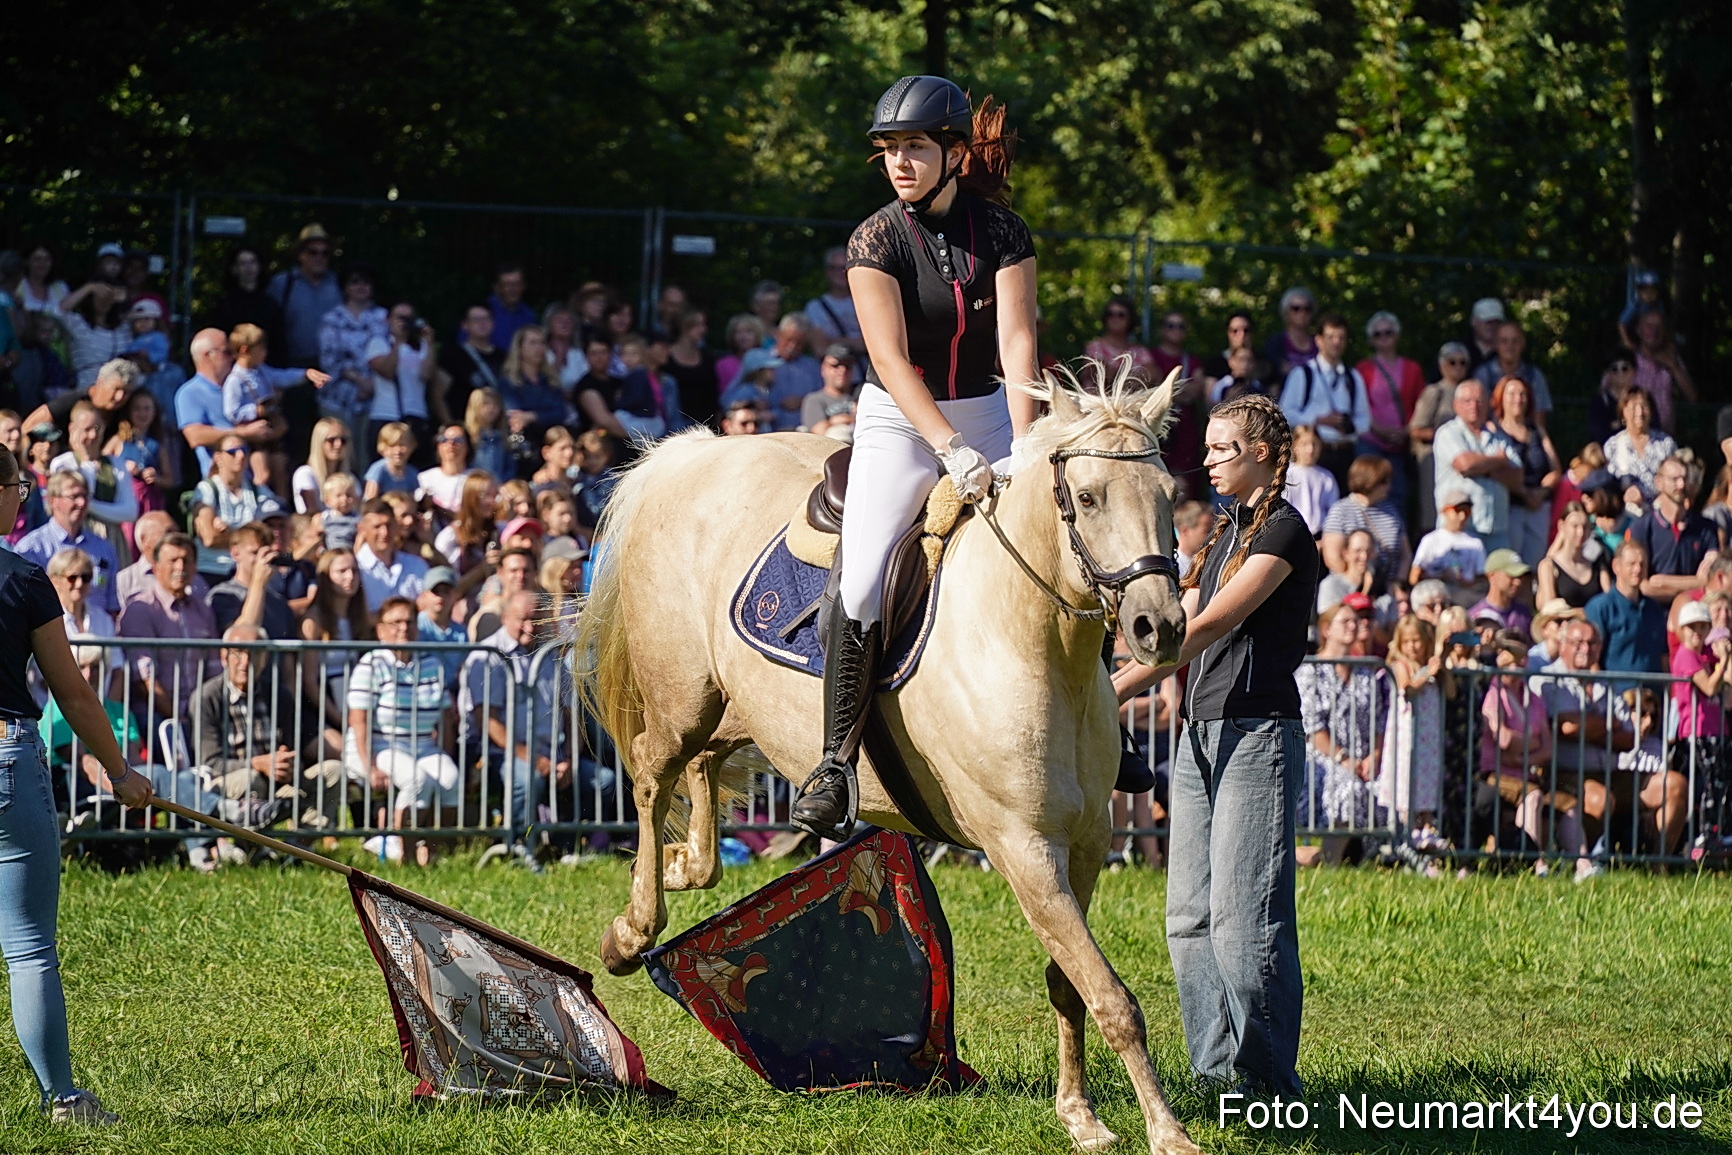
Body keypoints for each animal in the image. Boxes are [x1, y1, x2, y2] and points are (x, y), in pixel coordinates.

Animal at [574, 361, 1199, 1154]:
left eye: (1169, 494)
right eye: (1087, 498)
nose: (1160, 627)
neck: (1035, 644)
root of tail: (690, 455)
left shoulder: (1084, 845)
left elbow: (1071, 983)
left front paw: (1080, 1116)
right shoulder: (1023, 849)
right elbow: (1110, 994)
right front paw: (1167, 1133)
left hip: (733, 705)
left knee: (704, 767)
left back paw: (691, 863)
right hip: (682, 693)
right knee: (653, 770)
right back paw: (632, 929)